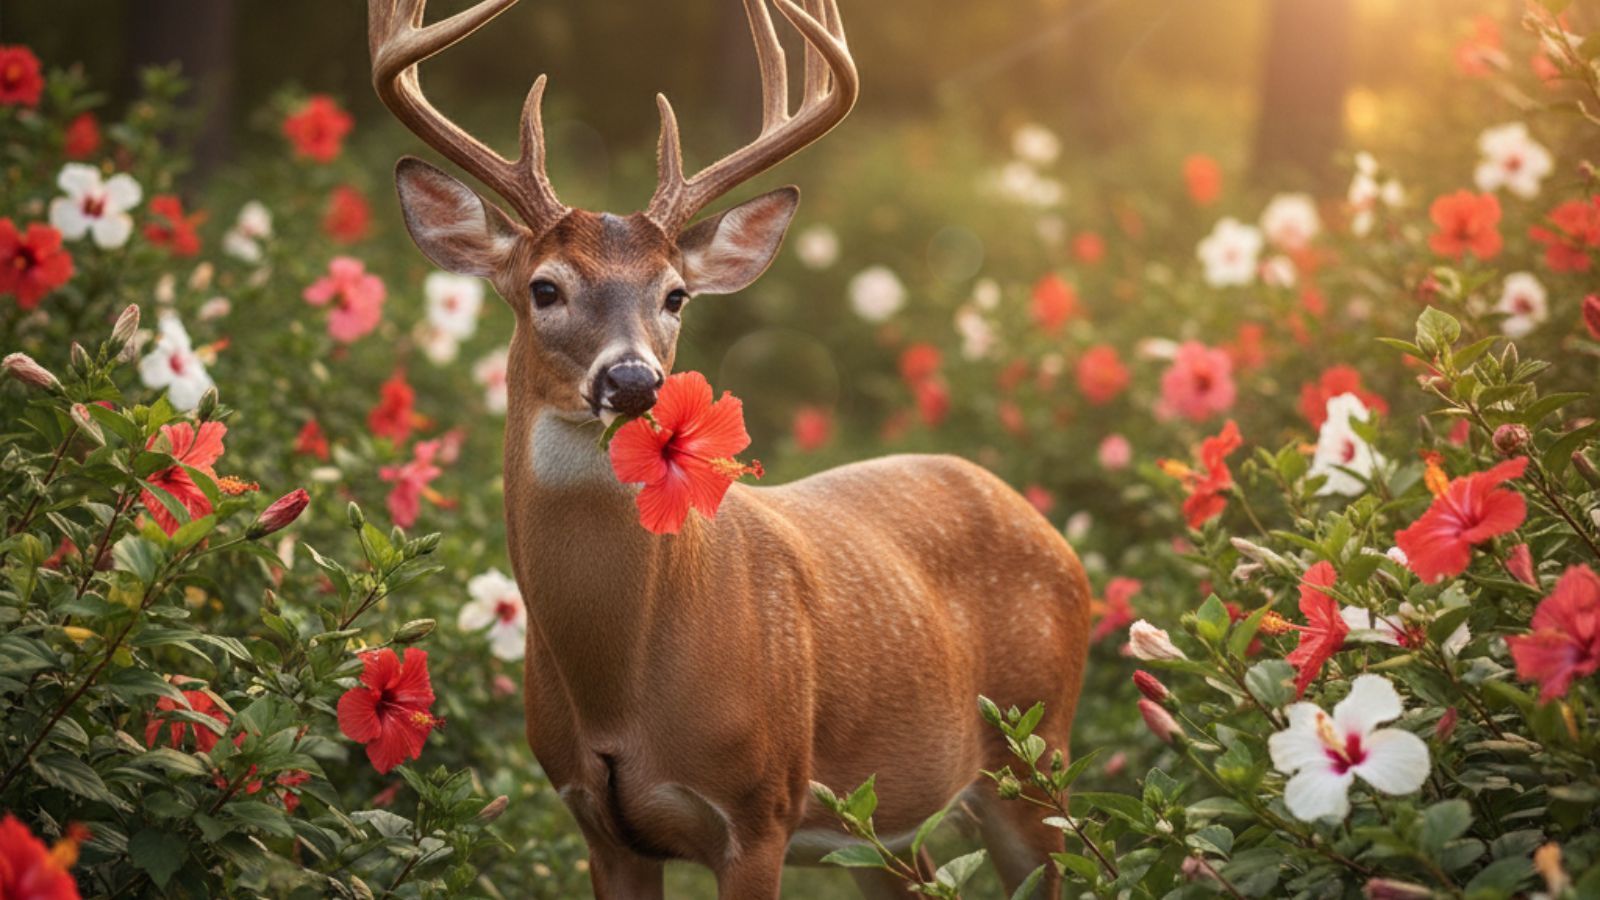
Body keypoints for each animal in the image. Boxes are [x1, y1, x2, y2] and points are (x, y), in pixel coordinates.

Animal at [368, 1, 1091, 896]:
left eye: (676, 295)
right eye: (544, 288)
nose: (634, 380)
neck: (621, 689)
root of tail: (1049, 528)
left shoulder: (759, 809)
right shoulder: (597, 824)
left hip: (1038, 756)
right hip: (887, 828)